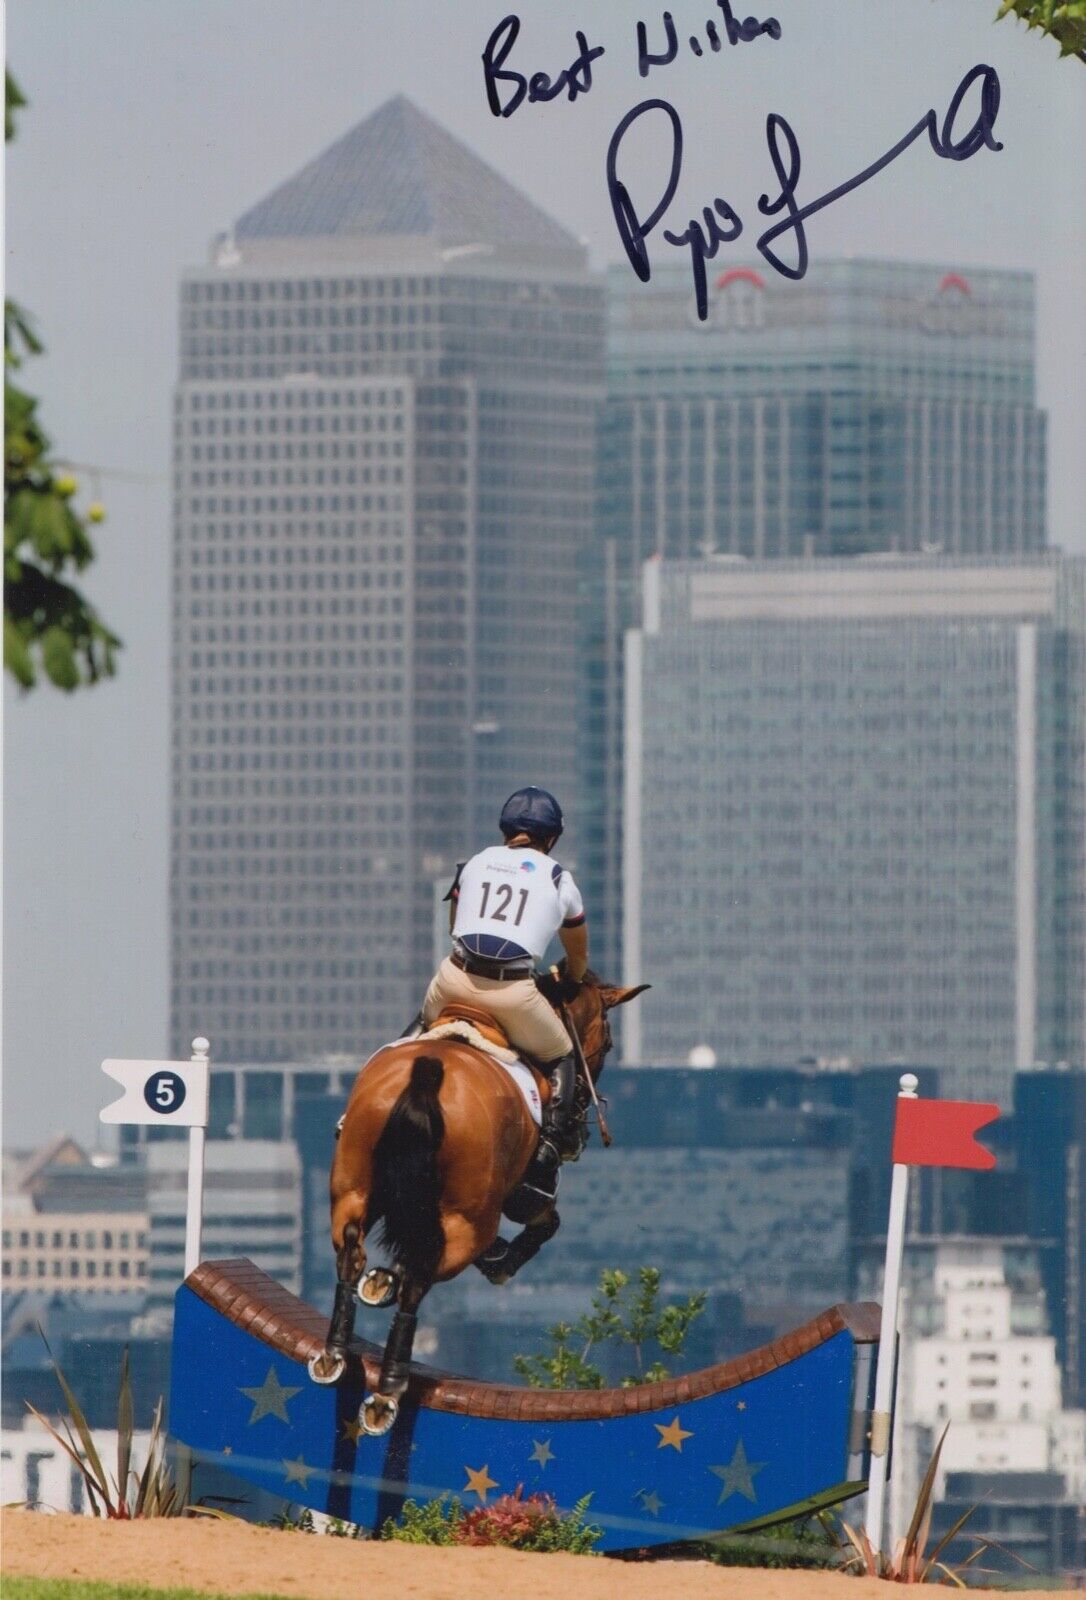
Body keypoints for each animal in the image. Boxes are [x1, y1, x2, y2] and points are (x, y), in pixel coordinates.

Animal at [305, 972, 646, 1440]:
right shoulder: (525, 1194)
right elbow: (546, 1222)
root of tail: (426, 1082)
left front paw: (381, 1281)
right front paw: (500, 1261)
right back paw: (387, 1391)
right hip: (469, 1219)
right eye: (609, 1042)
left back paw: (335, 1352)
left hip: (353, 1188)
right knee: (423, 1274)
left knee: (355, 1250)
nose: (579, 1133)